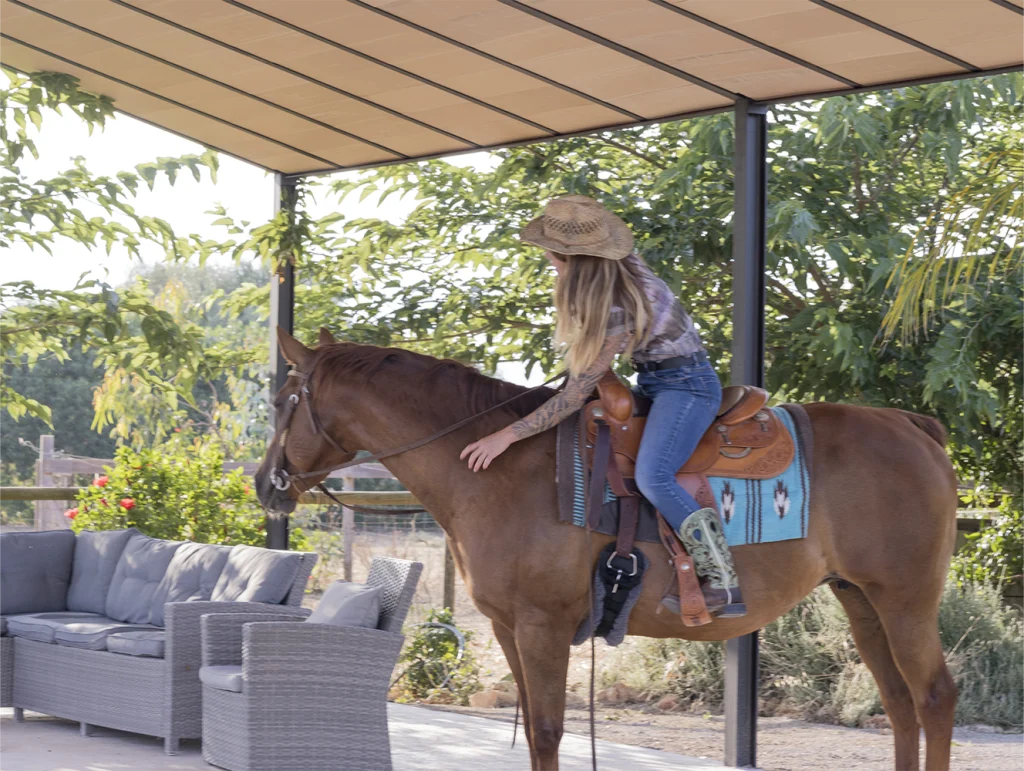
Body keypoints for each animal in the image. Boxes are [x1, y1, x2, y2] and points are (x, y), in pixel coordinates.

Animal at [256, 328, 959, 771]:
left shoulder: (542, 625)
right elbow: (534, 734)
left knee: (933, 700)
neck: (499, 468)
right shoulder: (509, 628)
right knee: (900, 707)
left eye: (282, 401)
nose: (266, 484)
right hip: (861, 601)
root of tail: (912, 425)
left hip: (906, 603)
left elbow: (546, 733)